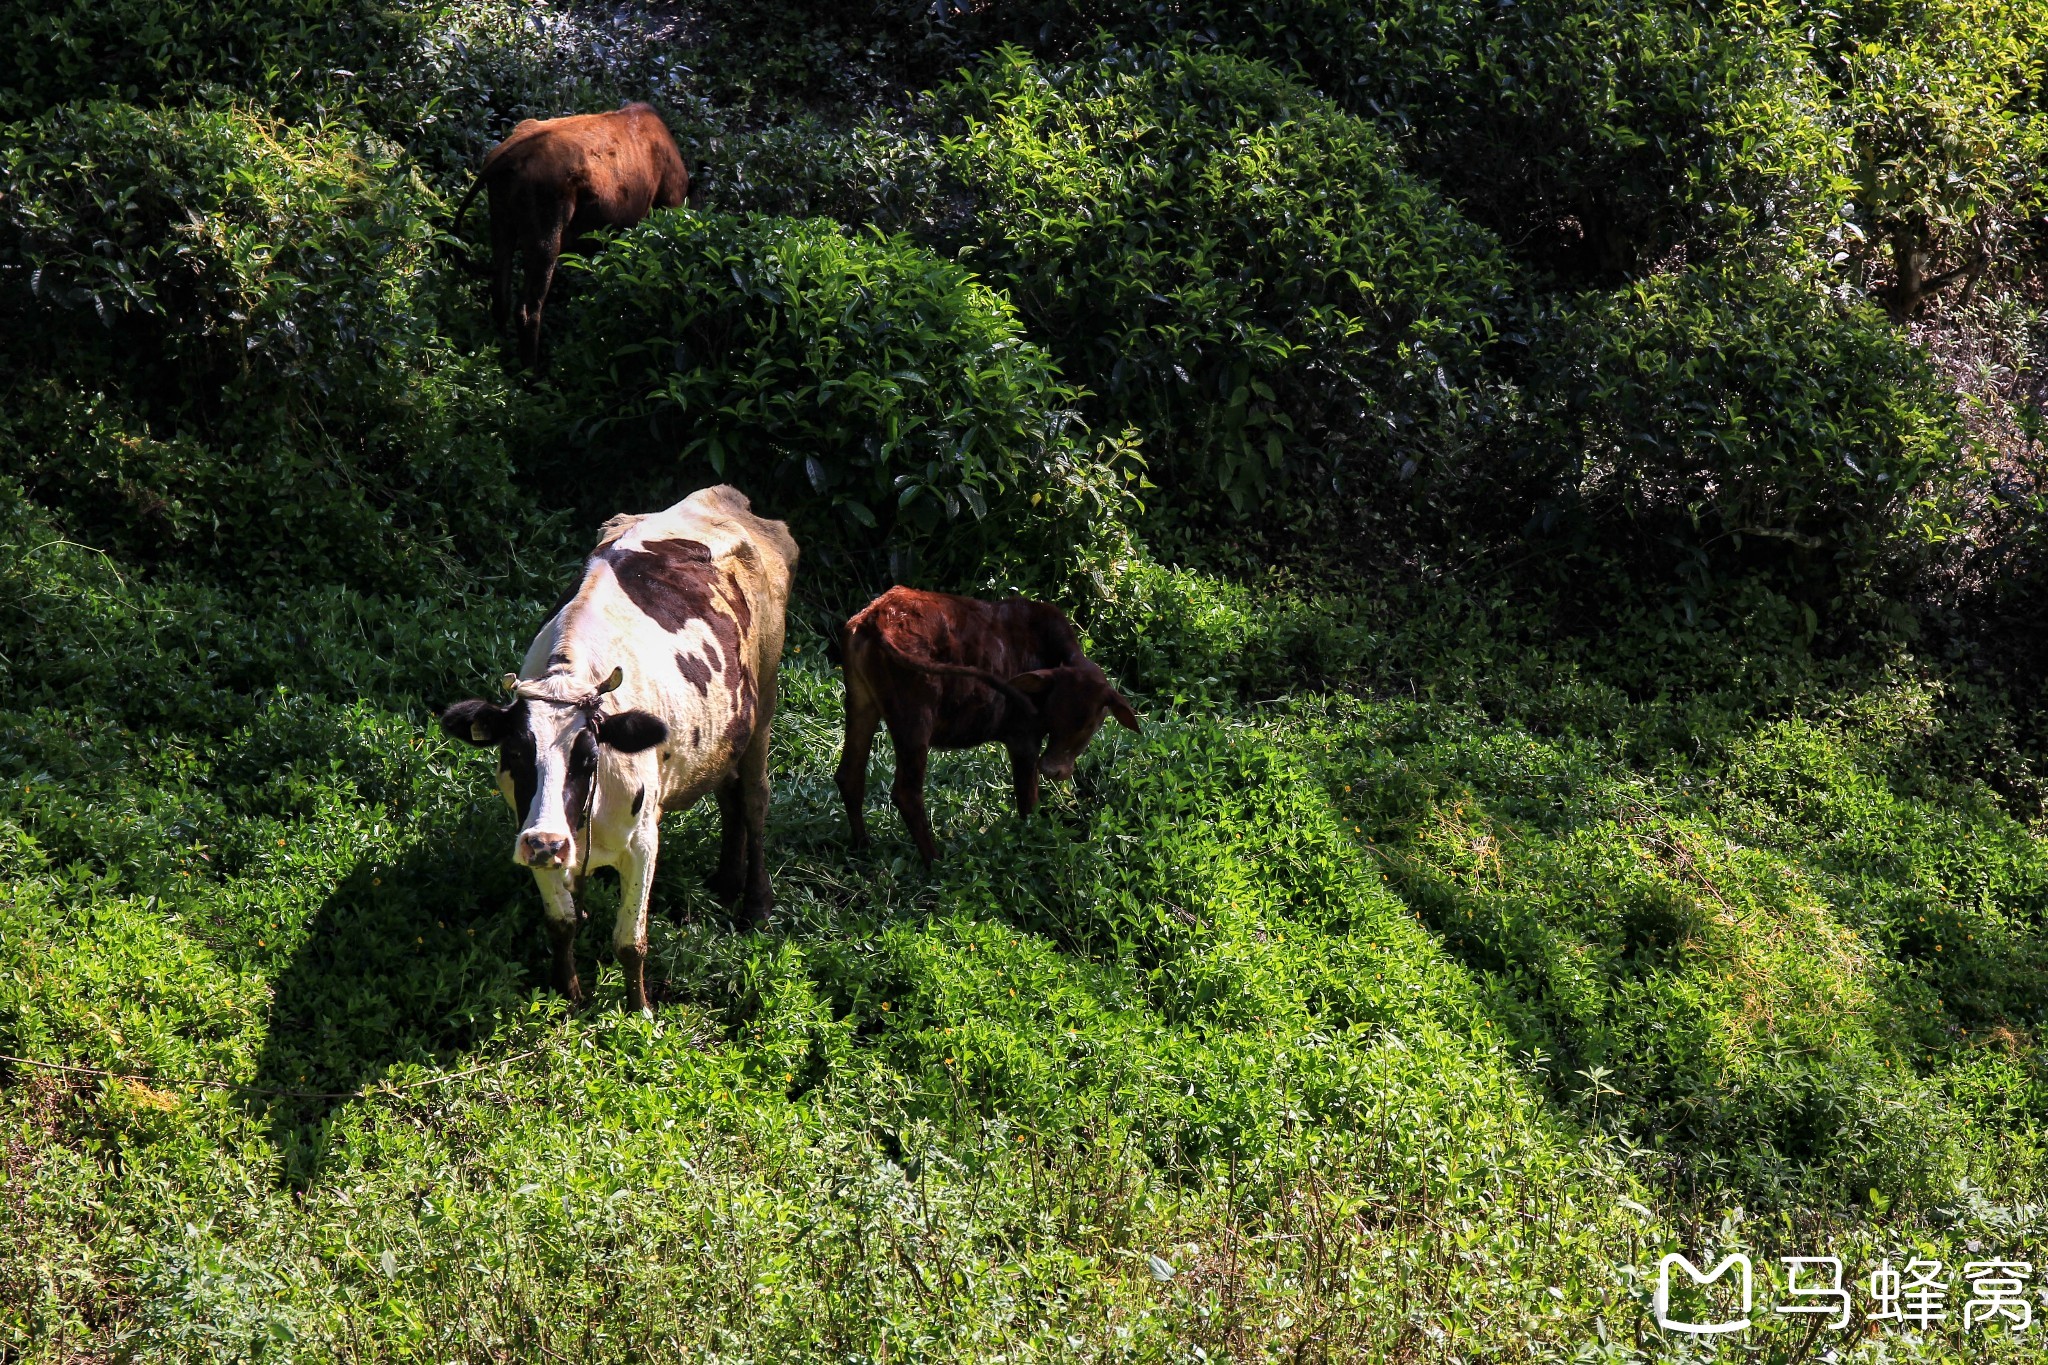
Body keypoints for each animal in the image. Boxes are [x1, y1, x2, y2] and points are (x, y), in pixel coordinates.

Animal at [436, 482, 794, 1015]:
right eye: (515, 756)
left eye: (589, 757)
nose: (547, 843)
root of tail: (724, 496)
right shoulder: (532, 831)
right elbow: (562, 922)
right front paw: (569, 995)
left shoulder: (643, 842)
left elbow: (630, 941)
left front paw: (639, 1010)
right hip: (725, 730)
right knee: (728, 794)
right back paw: (724, 882)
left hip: (764, 701)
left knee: (753, 799)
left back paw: (755, 904)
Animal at [454, 102, 692, 368]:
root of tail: (506, 156)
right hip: (545, 238)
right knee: (527, 310)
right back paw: (531, 372)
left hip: (501, 224)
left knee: (501, 296)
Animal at [839, 589, 1146, 863]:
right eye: (1055, 714)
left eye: (1090, 722)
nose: (1053, 769)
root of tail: (875, 617)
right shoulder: (1024, 738)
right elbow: (1028, 802)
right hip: (914, 722)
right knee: (906, 793)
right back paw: (934, 862)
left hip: (861, 703)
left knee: (849, 775)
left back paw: (863, 846)